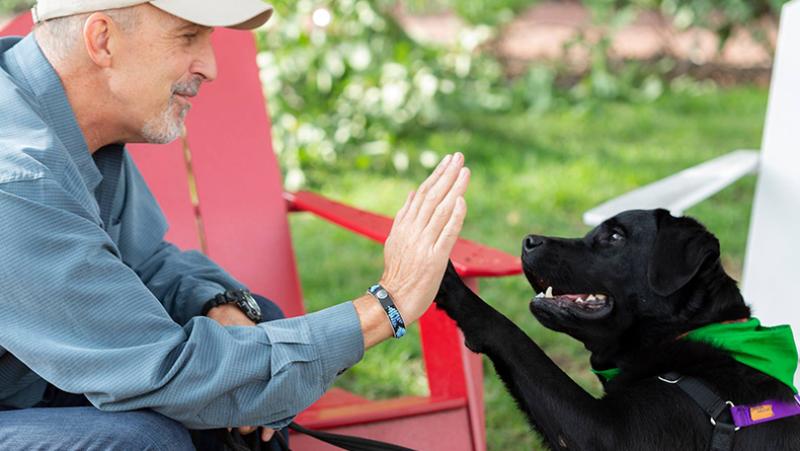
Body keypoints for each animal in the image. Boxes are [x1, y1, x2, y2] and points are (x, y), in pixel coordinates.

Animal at [438, 210, 800, 450]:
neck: (682, 333)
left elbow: (515, 336)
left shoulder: (609, 435)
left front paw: (447, 280)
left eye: (614, 237)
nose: (528, 241)